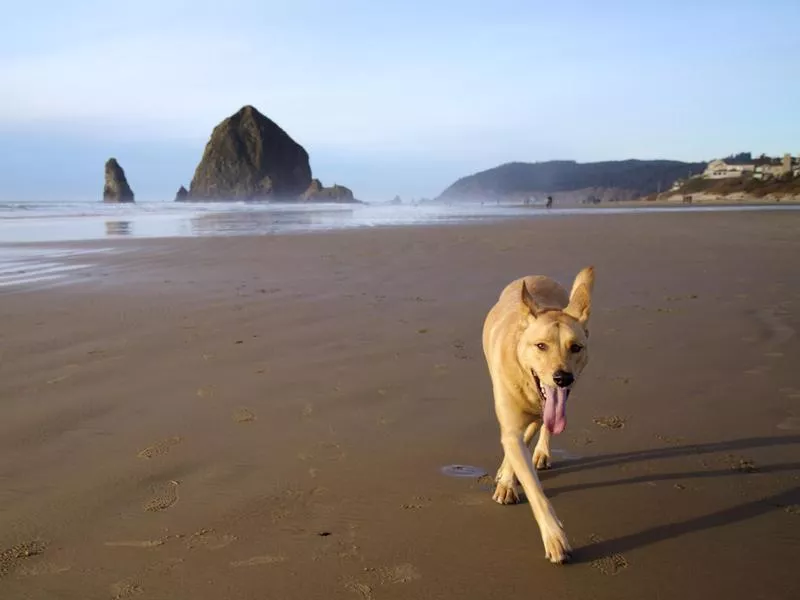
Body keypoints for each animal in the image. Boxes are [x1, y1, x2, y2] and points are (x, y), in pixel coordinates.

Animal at [482, 266, 592, 564]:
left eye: (575, 347)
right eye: (541, 346)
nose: (562, 378)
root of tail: (537, 276)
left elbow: (530, 436)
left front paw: (508, 479)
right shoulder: (511, 424)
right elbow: (534, 488)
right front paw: (555, 538)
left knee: (542, 428)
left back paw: (540, 453)